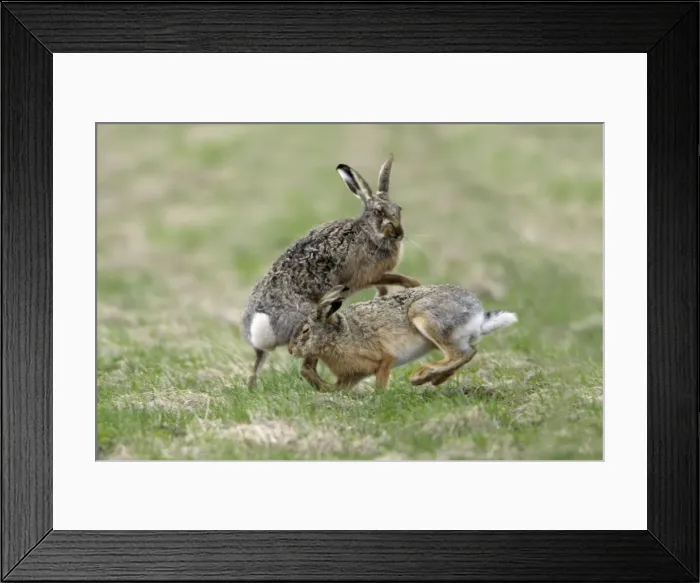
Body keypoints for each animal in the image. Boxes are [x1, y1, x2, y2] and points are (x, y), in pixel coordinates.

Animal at [240, 154, 421, 389]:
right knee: (306, 368)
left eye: (399, 209)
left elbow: (384, 286)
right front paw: (414, 286)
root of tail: (263, 327)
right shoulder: (367, 275)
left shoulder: (371, 278)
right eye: (379, 212)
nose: (399, 234)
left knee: (257, 368)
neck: (369, 233)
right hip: (313, 325)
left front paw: (383, 297)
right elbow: (397, 278)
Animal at [287, 283, 518, 391]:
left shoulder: (384, 359)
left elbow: (381, 379)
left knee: (459, 354)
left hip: (426, 319)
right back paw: (435, 379)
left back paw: (421, 375)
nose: (291, 350)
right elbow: (337, 388)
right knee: (468, 352)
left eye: (306, 331)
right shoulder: (353, 375)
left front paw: (378, 396)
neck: (337, 334)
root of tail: (477, 314)